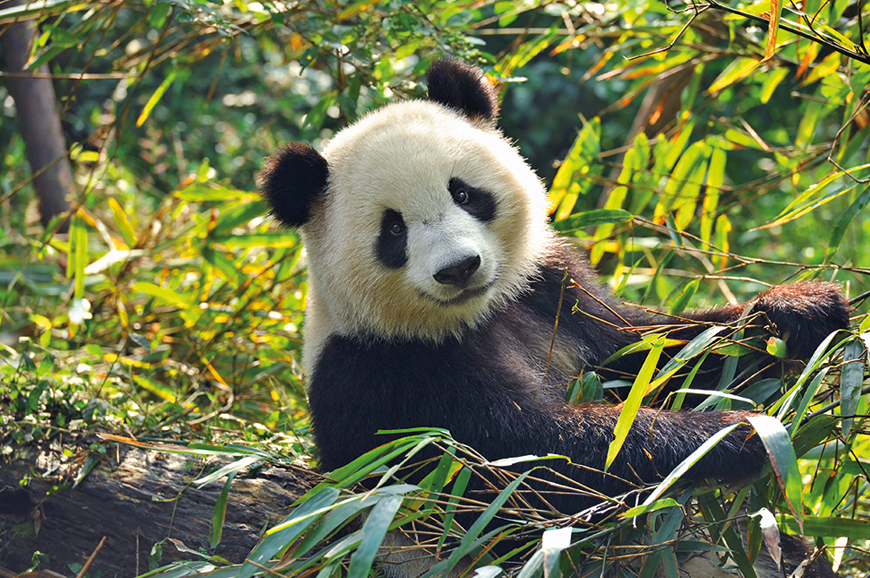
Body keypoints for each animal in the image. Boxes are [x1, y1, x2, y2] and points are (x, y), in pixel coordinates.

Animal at [258, 58, 852, 572]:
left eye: (464, 193)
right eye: (394, 229)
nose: (459, 267)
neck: (472, 315)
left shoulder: (550, 291)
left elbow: (652, 354)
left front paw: (797, 313)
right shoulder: (388, 375)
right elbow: (525, 464)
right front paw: (731, 435)